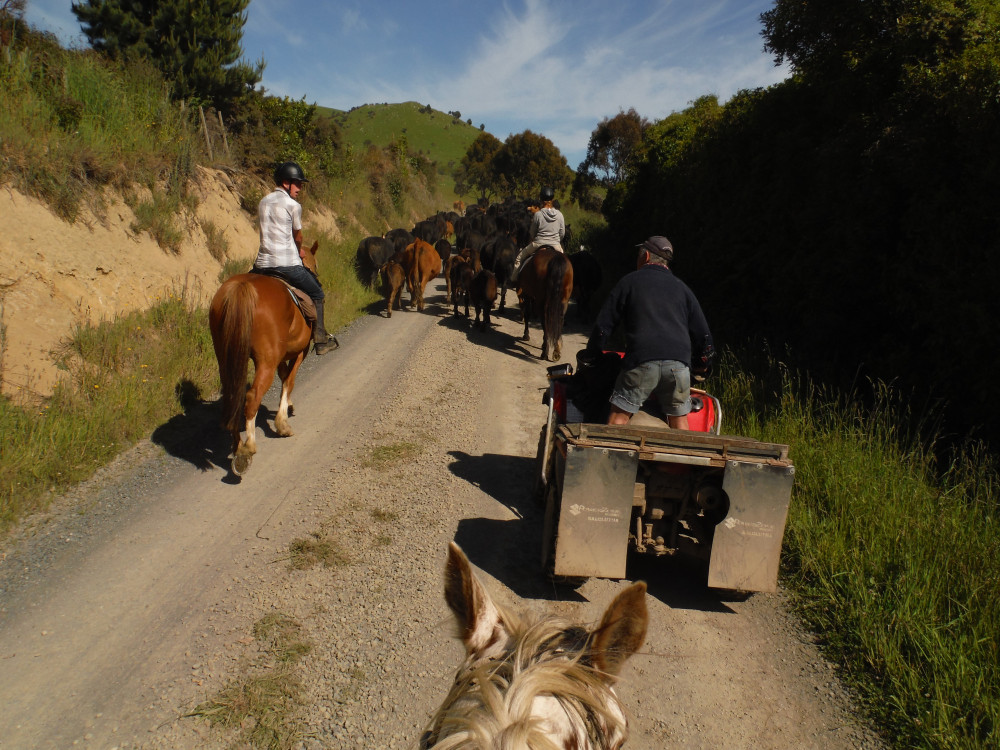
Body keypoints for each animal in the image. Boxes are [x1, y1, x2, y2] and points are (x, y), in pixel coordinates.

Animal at [209, 241, 318, 476]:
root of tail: (241, 288)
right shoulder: (301, 352)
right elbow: (289, 381)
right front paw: (282, 423)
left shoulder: (281, 356)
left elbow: (284, 376)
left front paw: (288, 407)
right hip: (265, 362)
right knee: (252, 397)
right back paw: (247, 448)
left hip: (226, 360)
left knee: (234, 396)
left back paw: (237, 447)